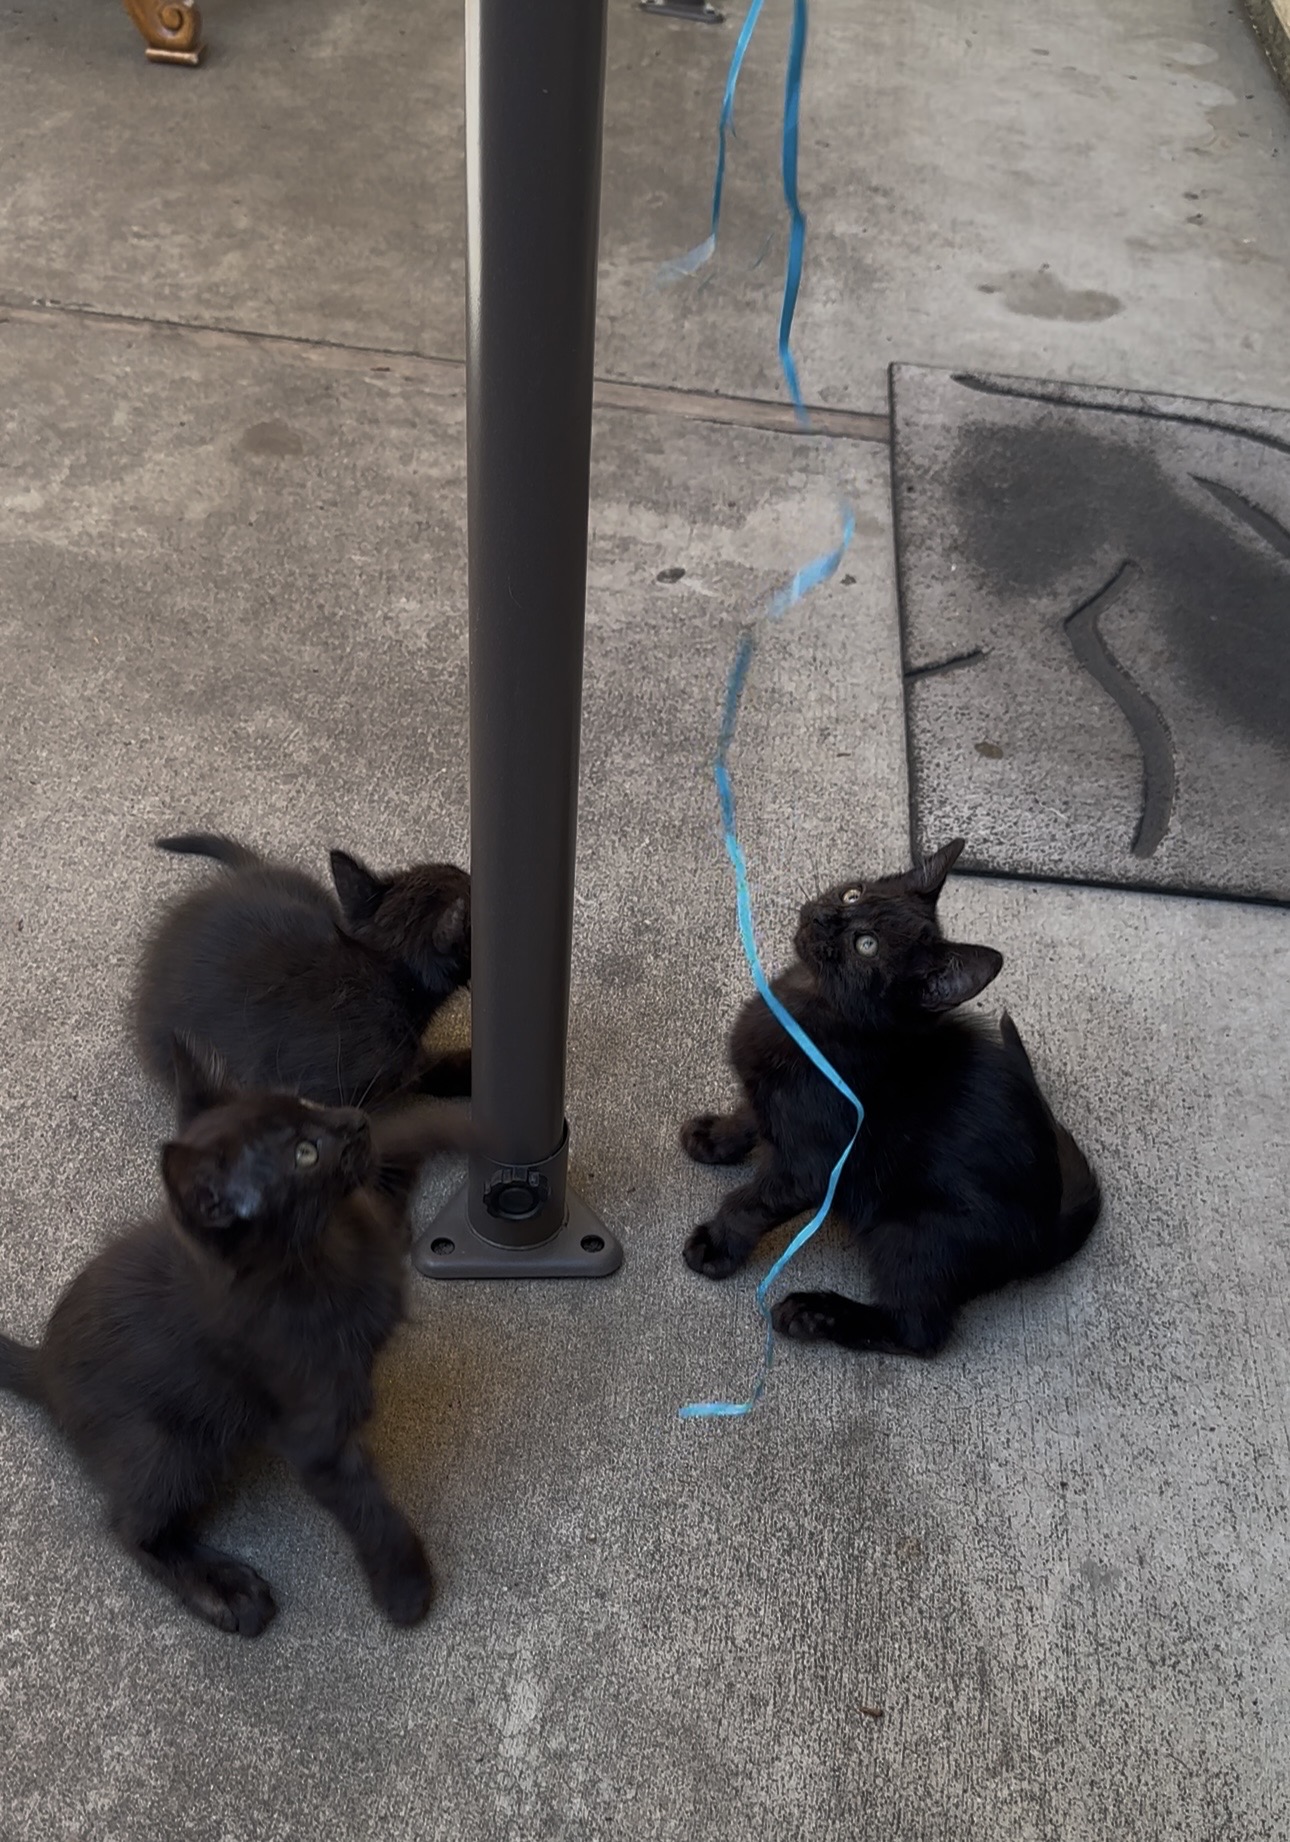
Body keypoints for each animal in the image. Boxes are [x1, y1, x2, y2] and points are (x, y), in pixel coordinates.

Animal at [0, 1041, 473, 1637]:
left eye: (305, 1102)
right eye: (305, 1155)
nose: (356, 1120)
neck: (323, 1253)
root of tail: (42, 1366)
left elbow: (401, 1145)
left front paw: (458, 1120)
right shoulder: (312, 1432)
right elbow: (366, 1505)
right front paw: (403, 1585)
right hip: (169, 1449)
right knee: (131, 1529)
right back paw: (224, 1589)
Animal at [680, 839, 1100, 1355]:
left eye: (867, 946)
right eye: (853, 894)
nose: (826, 917)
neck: (809, 1004)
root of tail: (1048, 1228)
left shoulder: (814, 1167)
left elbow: (752, 1202)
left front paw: (718, 1243)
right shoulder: (769, 1093)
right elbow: (749, 1115)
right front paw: (714, 1137)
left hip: (915, 1232)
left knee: (917, 1330)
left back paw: (815, 1313)